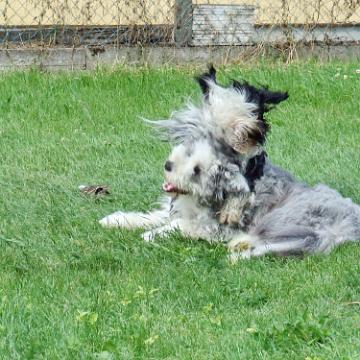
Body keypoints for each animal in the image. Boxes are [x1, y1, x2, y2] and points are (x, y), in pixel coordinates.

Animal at [99, 67, 360, 258]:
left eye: (197, 170)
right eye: (188, 150)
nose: (168, 166)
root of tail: (350, 225)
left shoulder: (215, 226)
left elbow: (179, 225)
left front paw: (151, 235)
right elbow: (155, 216)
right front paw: (117, 219)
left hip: (287, 221)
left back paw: (241, 245)